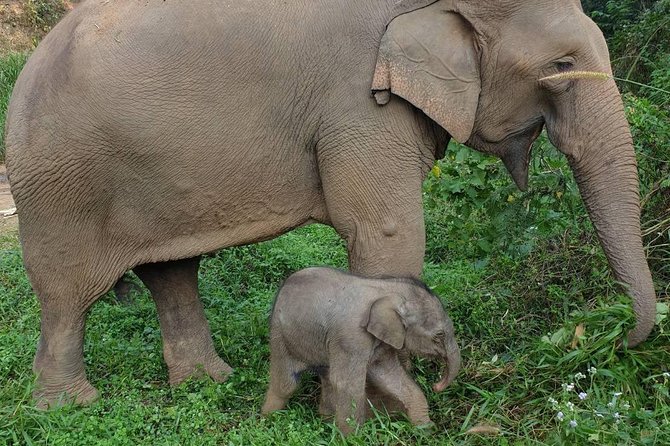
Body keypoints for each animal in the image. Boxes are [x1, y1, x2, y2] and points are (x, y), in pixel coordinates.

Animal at [4, 0, 656, 407]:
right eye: (561, 65)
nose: (618, 339)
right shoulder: (359, 103)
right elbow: (386, 230)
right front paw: (390, 397)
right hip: (60, 181)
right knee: (66, 294)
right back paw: (67, 407)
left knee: (172, 274)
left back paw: (207, 383)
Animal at [261, 267, 460, 433]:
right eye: (439, 335)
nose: (436, 386)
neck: (386, 288)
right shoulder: (351, 337)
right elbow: (347, 383)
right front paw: (353, 438)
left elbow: (389, 375)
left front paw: (425, 430)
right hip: (280, 335)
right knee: (286, 385)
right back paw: (266, 421)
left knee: (327, 378)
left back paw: (325, 423)